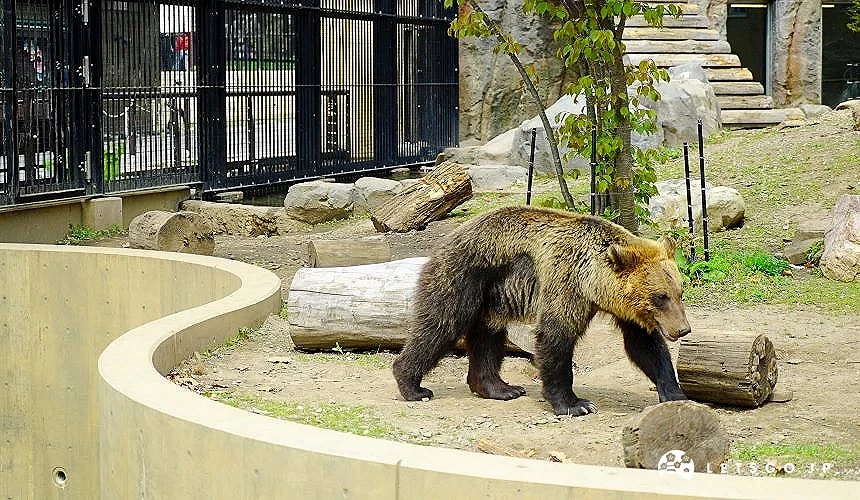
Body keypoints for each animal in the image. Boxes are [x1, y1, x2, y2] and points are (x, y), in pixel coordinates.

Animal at [392, 205, 690, 416]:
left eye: (679, 293)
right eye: (660, 296)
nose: (683, 329)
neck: (593, 281)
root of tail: (448, 237)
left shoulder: (627, 311)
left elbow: (645, 346)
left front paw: (676, 394)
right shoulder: (566, 282)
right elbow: (555, 337)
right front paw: (576, 404)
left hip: (491, 296)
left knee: (488, 337)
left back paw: (502, 388)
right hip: (465, 274)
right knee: (441, 323)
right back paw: (413, 386)